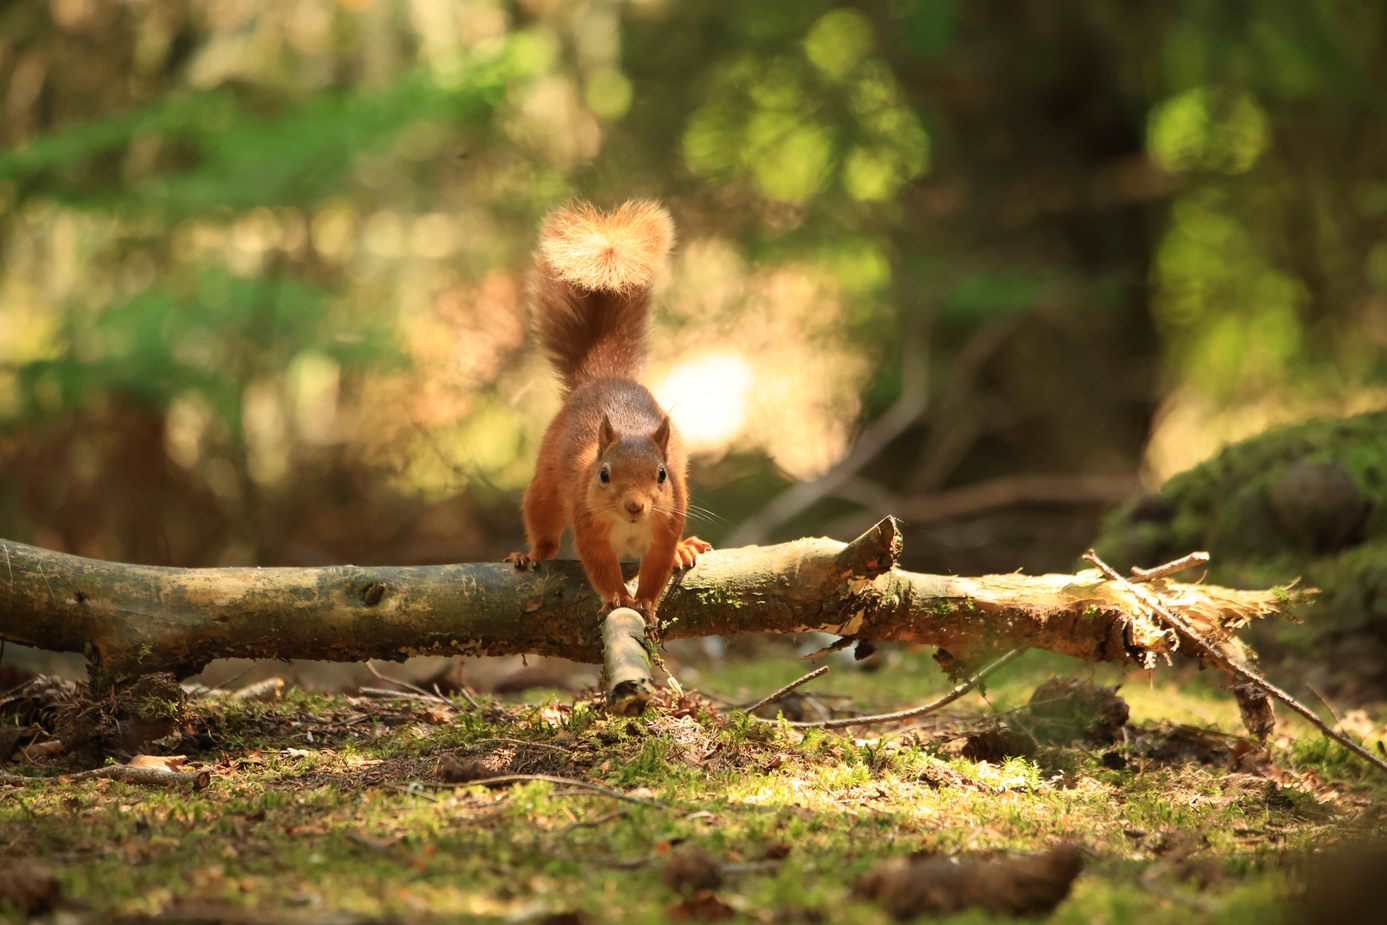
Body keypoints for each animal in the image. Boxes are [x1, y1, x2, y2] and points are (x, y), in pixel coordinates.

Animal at [504, 201, 710, 621]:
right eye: (603, 474)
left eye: (662, 474)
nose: (635, 506)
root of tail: (604, 378)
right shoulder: (588, 524)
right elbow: (599, 563)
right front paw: (617, 598)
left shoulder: (667, 524)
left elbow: (657, 566)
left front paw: (645, 601)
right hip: (545, 487)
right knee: (544, 527)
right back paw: (530, 555)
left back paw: (686, 549)